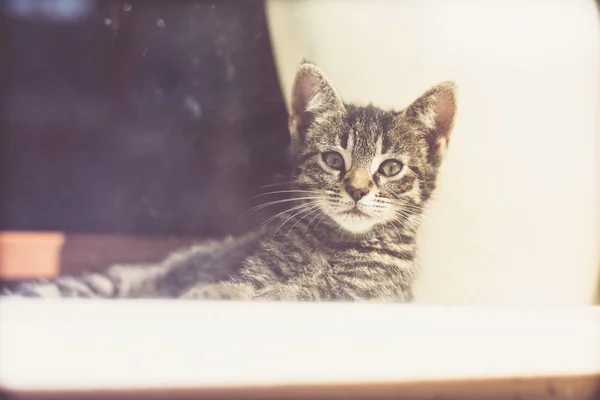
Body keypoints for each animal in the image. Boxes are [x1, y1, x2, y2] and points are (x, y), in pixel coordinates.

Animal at [2, 61, 458, 300]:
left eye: (390, 168)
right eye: (333, 160)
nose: (358, 189)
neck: (335, 242)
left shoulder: (359, 294)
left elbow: (290, 294)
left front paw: (215, 293)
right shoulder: (257, 271)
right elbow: (251, 288)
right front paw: (212, 291)